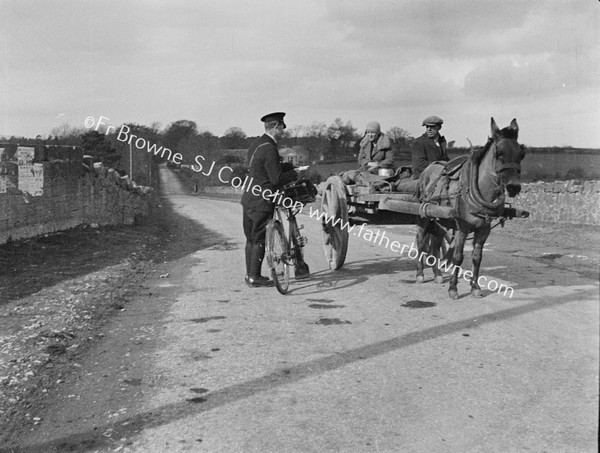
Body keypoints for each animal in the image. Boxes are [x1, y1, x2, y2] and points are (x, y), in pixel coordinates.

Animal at [418, 118, 524, 298]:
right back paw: (419, 274)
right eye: (499, 153)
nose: (513, 187)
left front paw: (475, 287)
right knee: (420, 242)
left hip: (439, 220)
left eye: (521, 154)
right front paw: (453, 288)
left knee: (436, 243)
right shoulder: (462, 228)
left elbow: (477, 257)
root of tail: (427, 170)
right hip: (423, 216)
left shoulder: (484, 230)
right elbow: (458, 257)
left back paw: (437, 274)